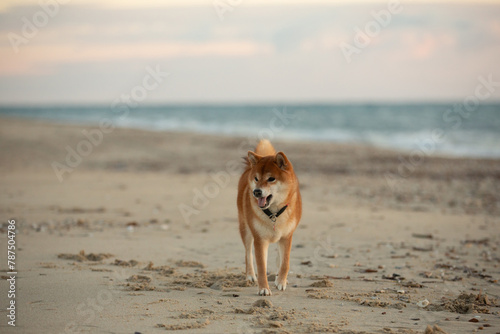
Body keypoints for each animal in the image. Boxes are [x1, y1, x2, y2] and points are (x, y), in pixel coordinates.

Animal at [237, 140, 302, 296]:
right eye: (256, 179)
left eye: (271, 179)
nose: (256, 192)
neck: (273, 214)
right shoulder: (260, 240)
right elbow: (261, 266)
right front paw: (264, 288)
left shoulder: (287, 236)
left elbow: (285, 262)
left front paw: (281, 281)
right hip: (245, 230)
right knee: (248, 254)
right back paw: (250, 275)